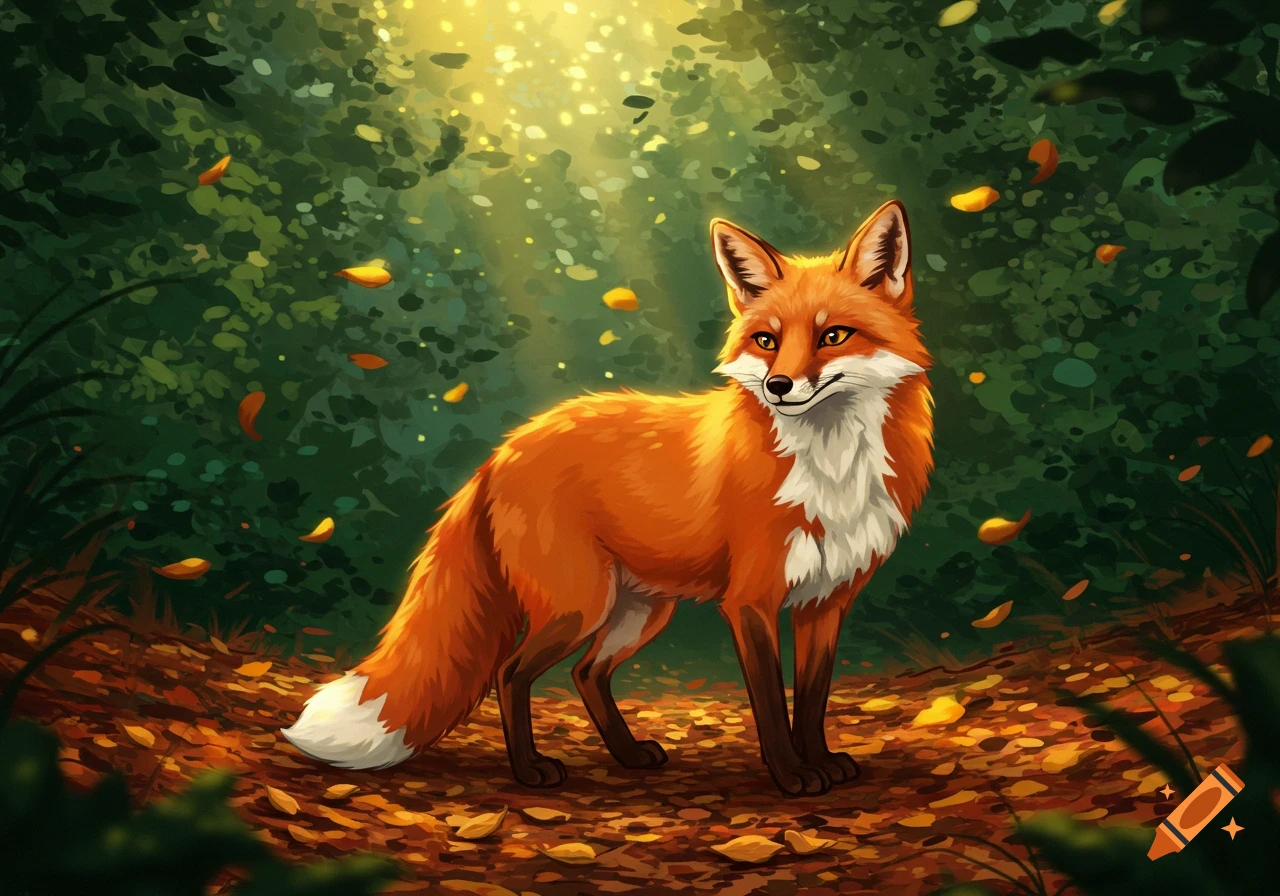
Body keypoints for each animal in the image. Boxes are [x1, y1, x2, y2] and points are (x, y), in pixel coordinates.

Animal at [282, 200, 934, 796]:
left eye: (833, 336)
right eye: (767, 341)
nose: (778, 386)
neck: (831, 468)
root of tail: (504, 449)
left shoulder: (827, 601)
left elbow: (814, 699)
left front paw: (820, 762)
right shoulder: (751, 600)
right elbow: (772, 703)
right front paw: (792, 777)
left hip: (637, 611)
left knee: (586, 673)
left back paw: (627, 755)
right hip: (581, 604)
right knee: (512, 672)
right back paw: (531, 772)